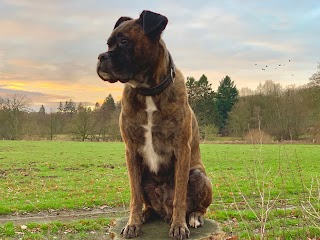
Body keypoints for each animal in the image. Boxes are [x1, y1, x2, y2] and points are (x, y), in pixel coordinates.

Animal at [97, 9, 212, 240]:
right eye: (108, 44)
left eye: (124, 41)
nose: (101, 57)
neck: (147, 90)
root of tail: (163, 211)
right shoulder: (131, 152)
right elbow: (134, 196)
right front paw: (133, 223)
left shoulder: (181, 149)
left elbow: (180, 196)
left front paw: (179, 225)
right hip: (144, 176)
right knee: (146, 203)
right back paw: (145, 215)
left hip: (199, 176)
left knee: (195, 206)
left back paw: (193, 217)